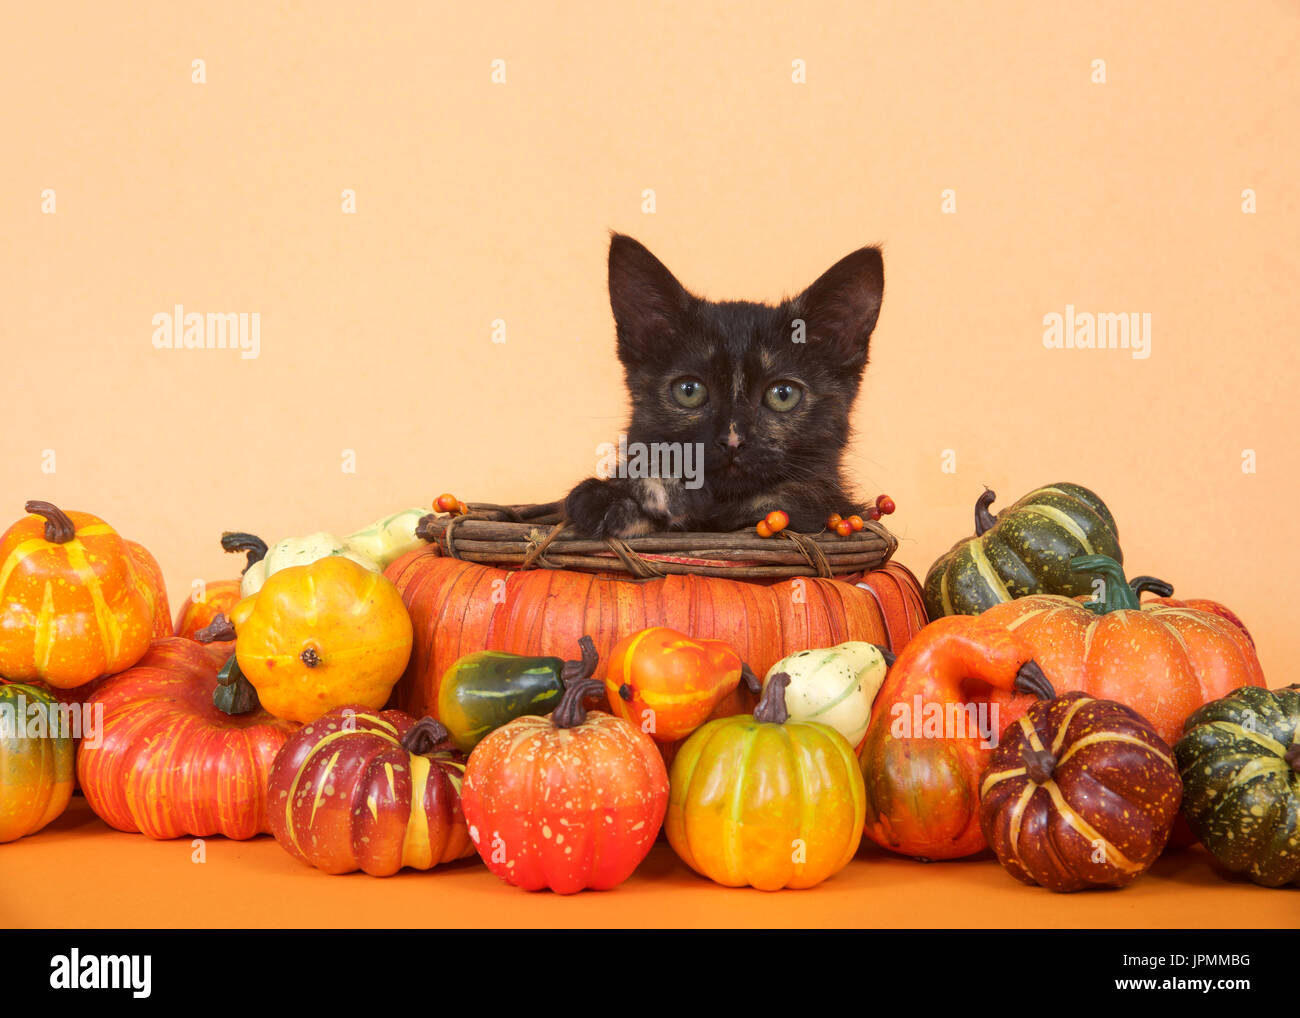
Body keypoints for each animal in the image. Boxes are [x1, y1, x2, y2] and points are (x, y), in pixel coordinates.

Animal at [566, 235, 883, 538]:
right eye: (689, 390)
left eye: (783, 395)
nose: (732, 441)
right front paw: (615, 494)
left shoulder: (821, 508)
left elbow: (788, 499)